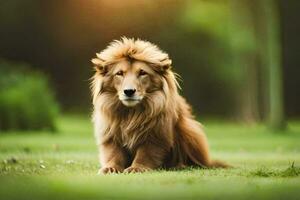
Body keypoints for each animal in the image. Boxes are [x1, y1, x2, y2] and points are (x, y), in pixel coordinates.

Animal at [91, 37, 227, 173]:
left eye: (142, 73)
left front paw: (137, 168)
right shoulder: (110, 134)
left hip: (190, 129)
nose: (129, 91)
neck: (131, 112)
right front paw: (110, 168)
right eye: (119, 73)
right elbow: (114, 153)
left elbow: (145, 153)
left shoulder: (155, 135)